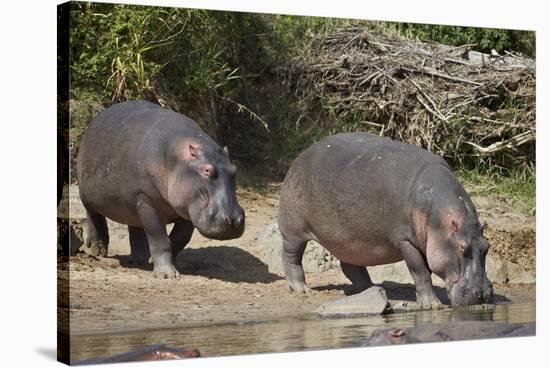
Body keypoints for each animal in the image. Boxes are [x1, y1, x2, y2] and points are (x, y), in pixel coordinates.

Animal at [78, 100, 246, 278]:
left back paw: (141, 259)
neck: (177, 159)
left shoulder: (186, 207)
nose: (234, 220)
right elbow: (159, 237)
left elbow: (180, 238)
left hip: (132, 204)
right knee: (94, 217)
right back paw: (98, 250)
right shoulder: (145, 199)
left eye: (234, 170)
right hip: (89, 195)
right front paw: (167, 275)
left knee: (135, 228)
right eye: (206, 170)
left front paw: (153, 261)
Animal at [280, 132, 496, 308]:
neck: (440, 223)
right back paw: (301, 289)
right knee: (291, 257)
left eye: (487, 246)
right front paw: (432, 305)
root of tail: (300, 156)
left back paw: (368, 288)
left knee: (351, 265)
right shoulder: (405, 241)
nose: (484, 294)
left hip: (349, 240)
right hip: (294, 231)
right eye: (461, 247)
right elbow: (420, 271)